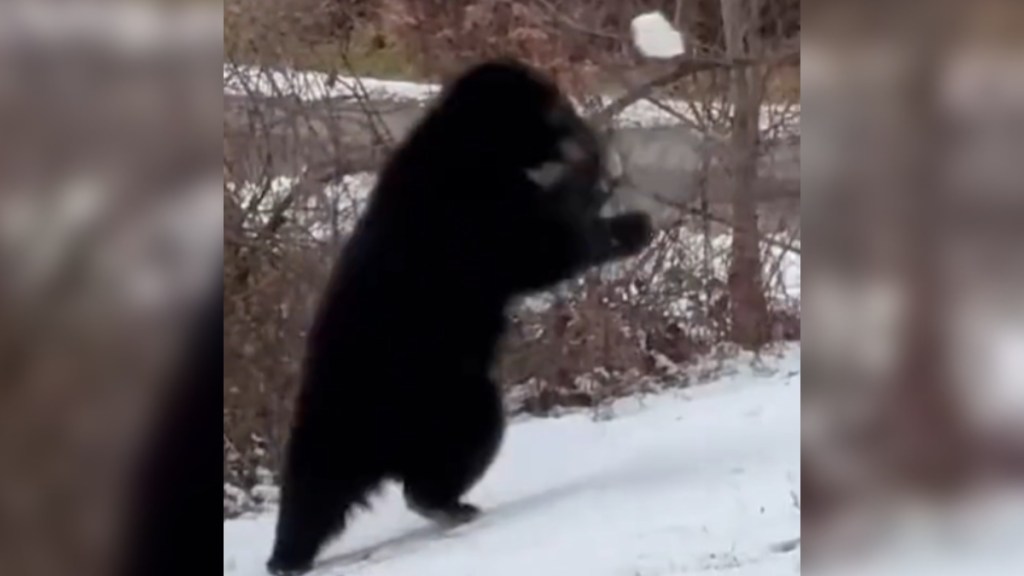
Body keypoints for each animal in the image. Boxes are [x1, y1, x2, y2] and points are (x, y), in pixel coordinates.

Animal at [268, 57, 651, 569]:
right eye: (557, 109)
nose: (583, 130)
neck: (478, 152)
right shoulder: (469, 217)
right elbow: (541, 249)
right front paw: (627, 222)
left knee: (312, 492)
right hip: (440, 394)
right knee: (463, 442)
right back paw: (448, 504)